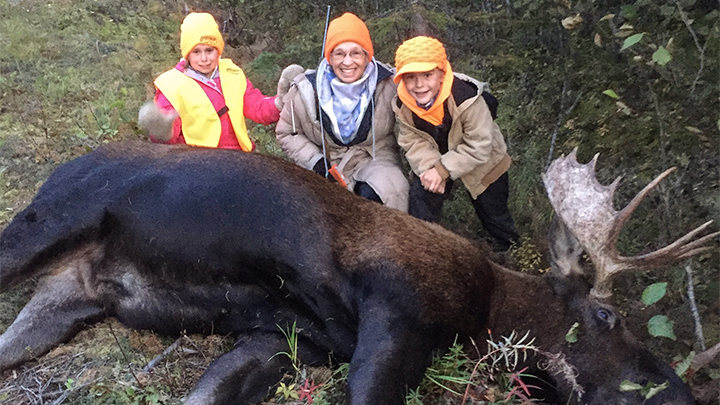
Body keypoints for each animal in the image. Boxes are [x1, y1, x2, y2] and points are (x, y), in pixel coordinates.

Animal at [0, 140, 716, 402]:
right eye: (606, 314)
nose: (677, 394)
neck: (486, 312)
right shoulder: (397, 307)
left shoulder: (285, 341)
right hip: (49, 221)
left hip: (63, 302)